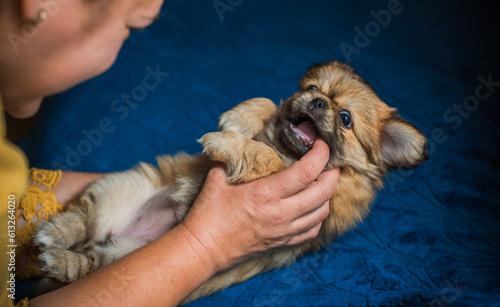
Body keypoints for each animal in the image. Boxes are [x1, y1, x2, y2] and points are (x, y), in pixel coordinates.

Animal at [33, 62, 428, 304]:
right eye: (314, 88)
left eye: (345, 118)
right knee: (85, 220)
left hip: (126, 259)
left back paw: (59, 259)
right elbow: (271, 103)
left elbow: (268, 158)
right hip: (122, 190)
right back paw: (55, 232)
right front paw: (241, 116)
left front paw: (230, 144)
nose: (317, 102)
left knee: (91, 261)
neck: (286, 146)